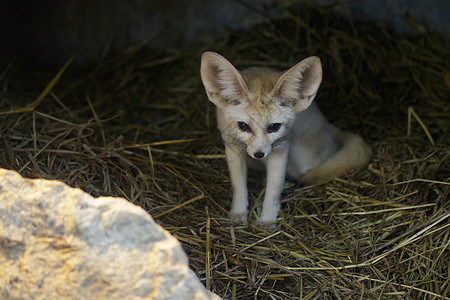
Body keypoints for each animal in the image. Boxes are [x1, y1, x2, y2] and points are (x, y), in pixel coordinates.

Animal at [200, 51, 372, 226]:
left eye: (274, 127)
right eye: (243, 126)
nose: (259, 154)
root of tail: (330, 127)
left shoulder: (281, 150)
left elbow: (273, 189)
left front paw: (267, 220)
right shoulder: (232, 147)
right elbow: (239, 185)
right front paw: (238, 213)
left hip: (301, 160)